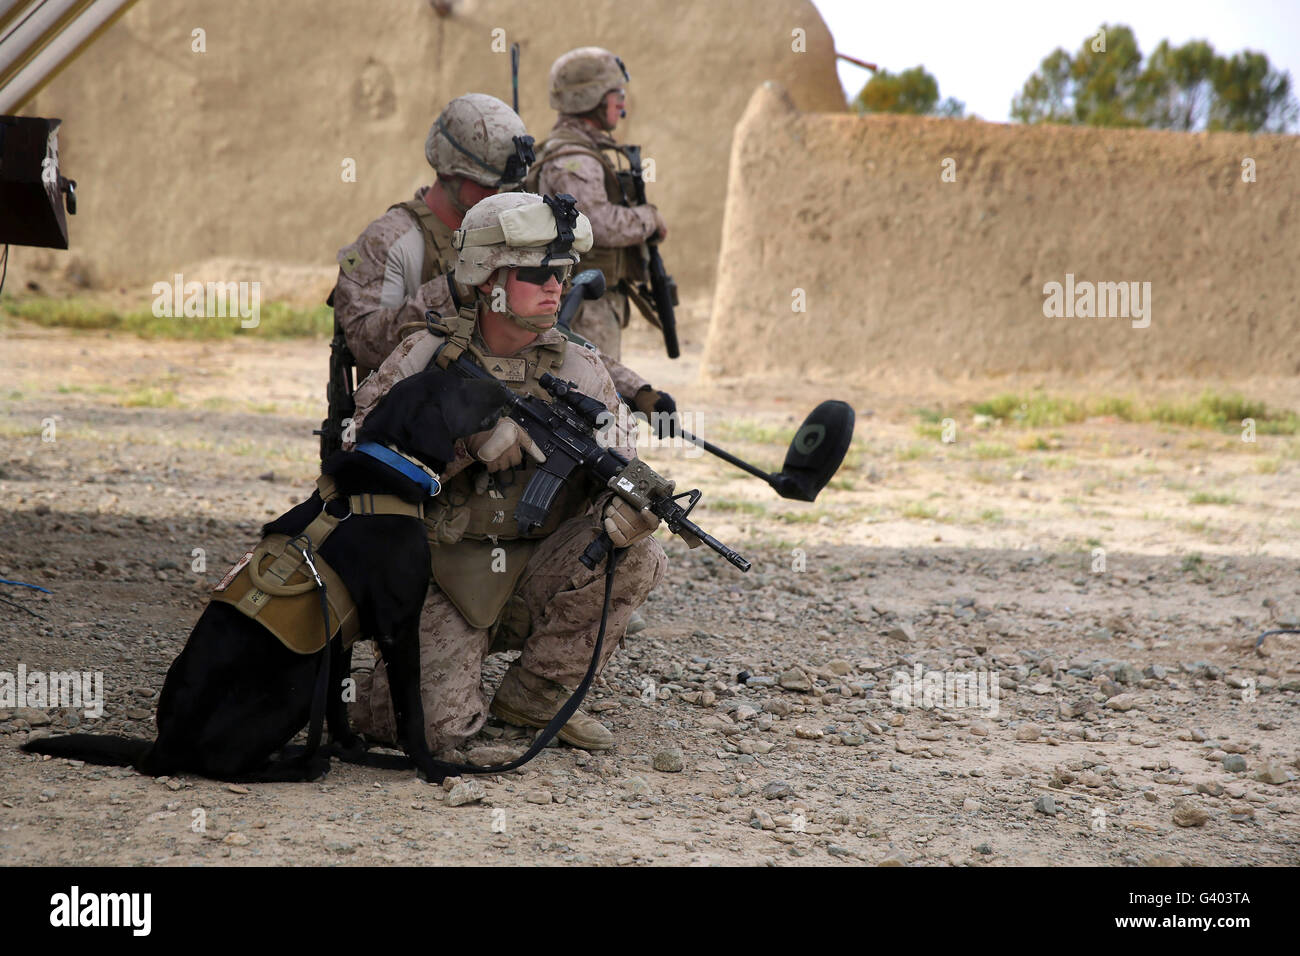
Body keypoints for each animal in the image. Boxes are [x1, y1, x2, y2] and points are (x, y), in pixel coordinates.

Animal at [21, 369, 506, 780]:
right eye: (461, 382)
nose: (504, 387)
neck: (387, 471)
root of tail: (160, 748)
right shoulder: (398, 628)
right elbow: (412, 712)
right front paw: (431, 768)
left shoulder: (338, 632)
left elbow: (339, 702)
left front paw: (349, 747)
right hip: (297, 682)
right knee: (224, 765)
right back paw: (301, 766)